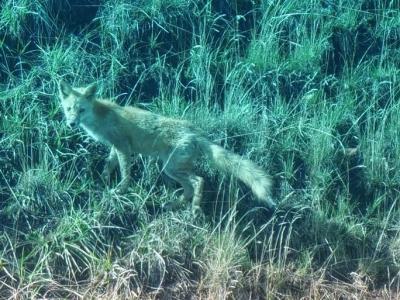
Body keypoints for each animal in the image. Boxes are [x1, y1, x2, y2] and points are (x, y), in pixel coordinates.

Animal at [58, 80, 276, 213]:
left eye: (81, 110)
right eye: (69, 109)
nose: (71, 124)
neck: (101, 117)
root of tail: (197, 133)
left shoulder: (123, 147)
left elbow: (125, 173)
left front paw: (120, 191)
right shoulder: (116, 147)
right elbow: (108, 164)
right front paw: (103, 180)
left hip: (171, 167)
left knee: (199, 181)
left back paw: (194, 208)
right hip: (171, 168)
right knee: (188, 188)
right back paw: (174, 204)